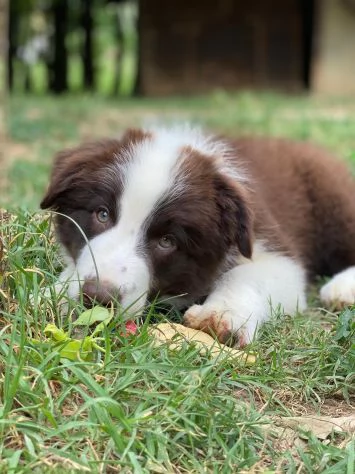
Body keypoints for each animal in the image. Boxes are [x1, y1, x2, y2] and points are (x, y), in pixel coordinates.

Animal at [39, 126, 355, 346]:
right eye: (102, 214)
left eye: (167, 241)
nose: (97, 297)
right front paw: (53, 294)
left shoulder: (270, 243)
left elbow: (251, 274)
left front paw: (221, 315)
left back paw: (342, 290)